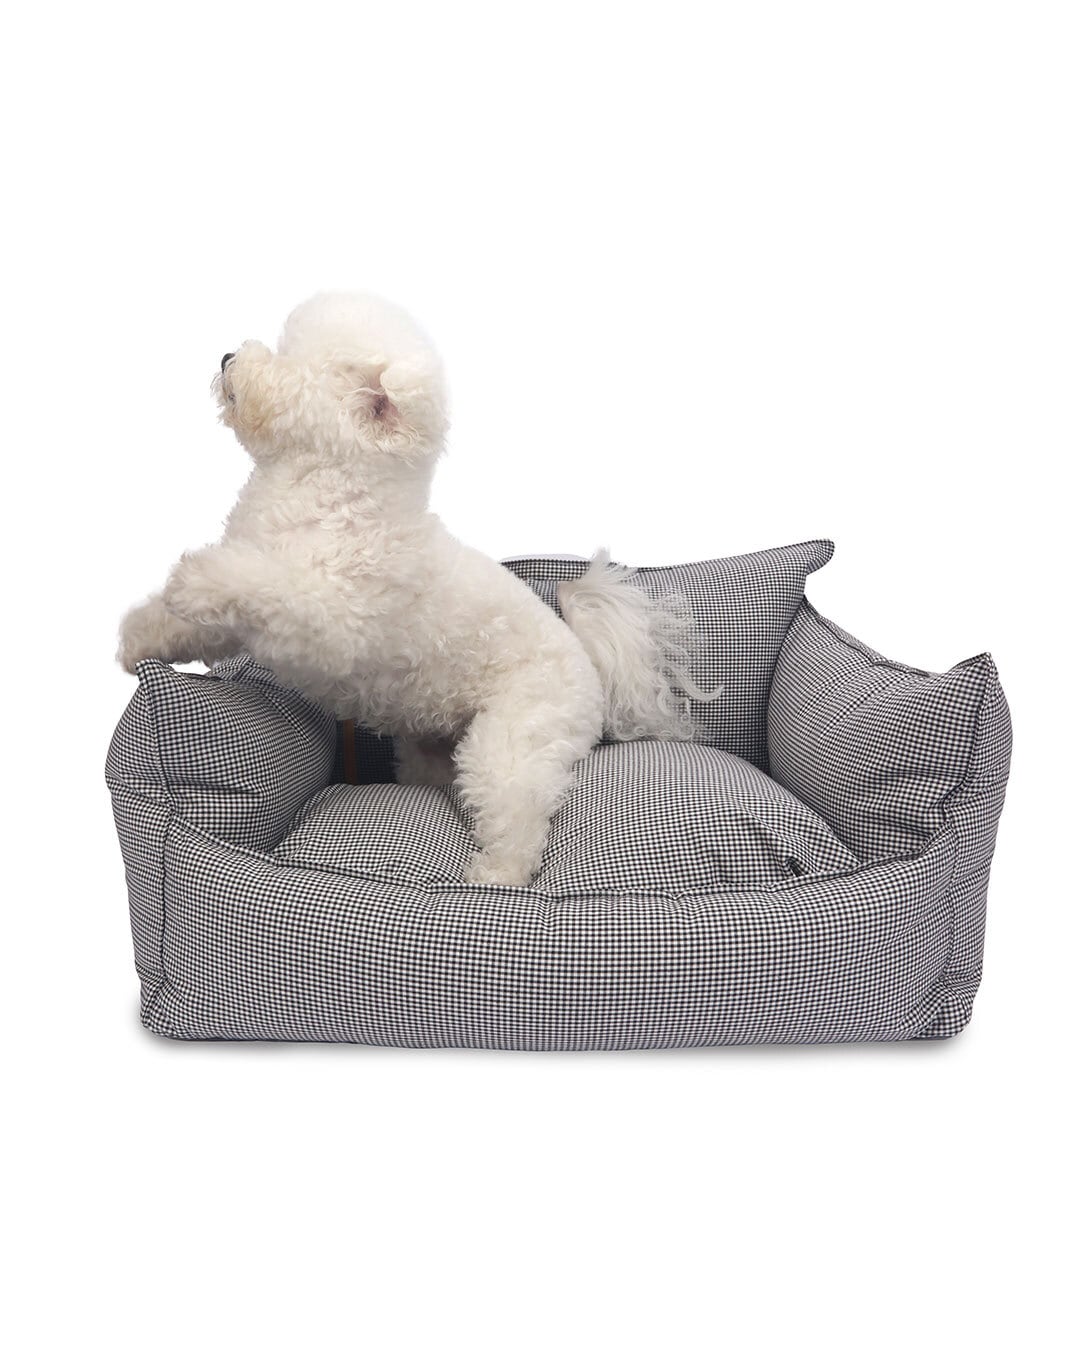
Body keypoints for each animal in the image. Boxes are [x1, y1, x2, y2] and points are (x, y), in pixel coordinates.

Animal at [117, 293, 713, 885]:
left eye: (290, 364)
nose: (226, 358)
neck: (327, 489)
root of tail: (588, 660)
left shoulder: (332, 622)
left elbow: (265, 585)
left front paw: (196, 576)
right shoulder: (244, 621)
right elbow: (196, 625)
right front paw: (137, 639)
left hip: (518, 732)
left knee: (517, 807)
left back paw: (497, 877)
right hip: (433, 740)